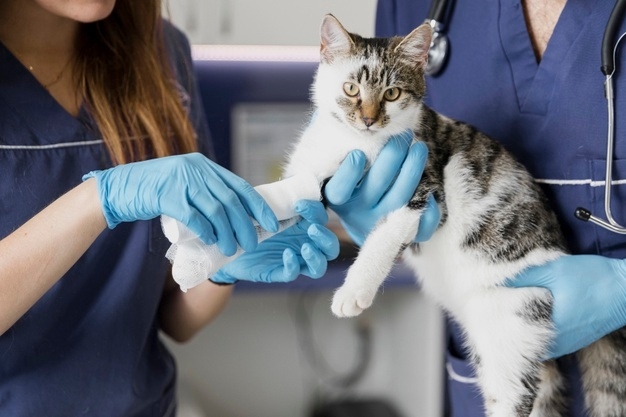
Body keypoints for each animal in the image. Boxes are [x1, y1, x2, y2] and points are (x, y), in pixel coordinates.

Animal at [280, 13, 624, 416]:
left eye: (392, 94)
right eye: (351, 88)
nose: (368, 120)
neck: (356, 145)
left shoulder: (425, 191)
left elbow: (384, 238)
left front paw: (354, 290)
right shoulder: (310, 161)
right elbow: (285, 194)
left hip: (511, 317)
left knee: (513, 394)